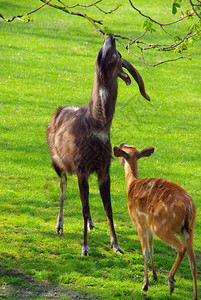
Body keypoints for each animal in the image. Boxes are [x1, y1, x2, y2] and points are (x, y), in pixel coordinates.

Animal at [46, 34, 151, 255]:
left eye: (116, 54)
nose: (110, 35)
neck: (97, 125)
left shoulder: (103, 168)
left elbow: (107, 208)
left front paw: (116, 245)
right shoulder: (80, 166)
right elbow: (84, 207)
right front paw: (85, 248)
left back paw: (91, 224)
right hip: (56, 162)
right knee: (63, 185)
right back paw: (59, 227)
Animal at [114, 144, 197, 298]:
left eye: (124, 151)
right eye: (130, 147)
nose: (120, 161)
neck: (131, 185)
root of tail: (188, 207)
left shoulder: (139, 223)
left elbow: (145, 251)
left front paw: (145, 284)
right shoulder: (148, 226)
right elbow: (152, 248)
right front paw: (154, 276)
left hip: (161, 226)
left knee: (181, 248)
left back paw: (171, 281)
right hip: (188, 229)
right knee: (193, 262)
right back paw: (194, 296)